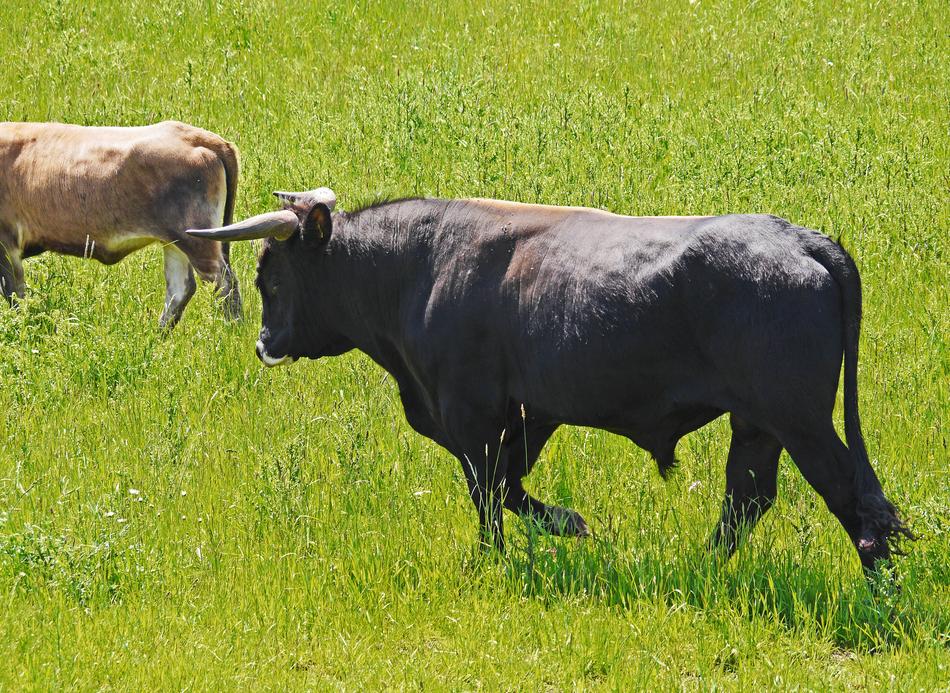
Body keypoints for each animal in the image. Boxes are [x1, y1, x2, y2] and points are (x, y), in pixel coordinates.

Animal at [0, 120, 242, 328]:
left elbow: (14, 294)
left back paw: (231, 333)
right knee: (180, 289)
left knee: (223, 283)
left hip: (196, 239)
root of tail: (201, 137)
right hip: (174, 241)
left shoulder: (7, 243)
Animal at [189, 192, 913, 576]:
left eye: (269, 274)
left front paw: (499, 559)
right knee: (748, 498)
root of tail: (804, 239)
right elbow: (508, 488)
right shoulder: (528, 414)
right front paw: (568, 524)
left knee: (847, 497)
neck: (420, 266)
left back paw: (880, 589)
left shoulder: (472, 413)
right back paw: (698, 569)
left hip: (799, 419)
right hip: (757, 422)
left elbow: (488, 493)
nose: (264, 345)